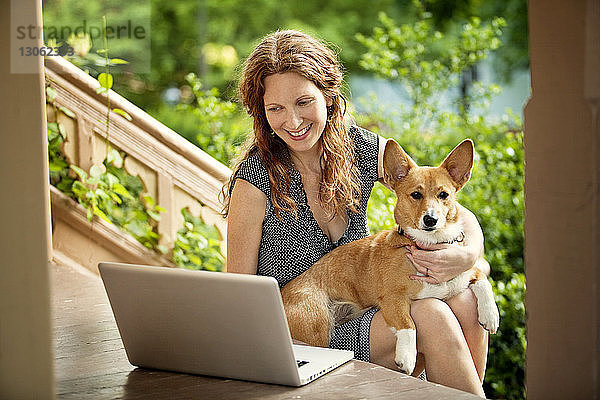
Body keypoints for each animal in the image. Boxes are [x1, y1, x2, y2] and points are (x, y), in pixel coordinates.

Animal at [282, 138, 502, 376]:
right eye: (416, 195)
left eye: (443, 195)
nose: (430, 220)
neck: (427, 244)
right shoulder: (393, 298)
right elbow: (408, 325)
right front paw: (406, 356)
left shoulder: (462, 270)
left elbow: (481, 278)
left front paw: (490, 314)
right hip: (317, 328)